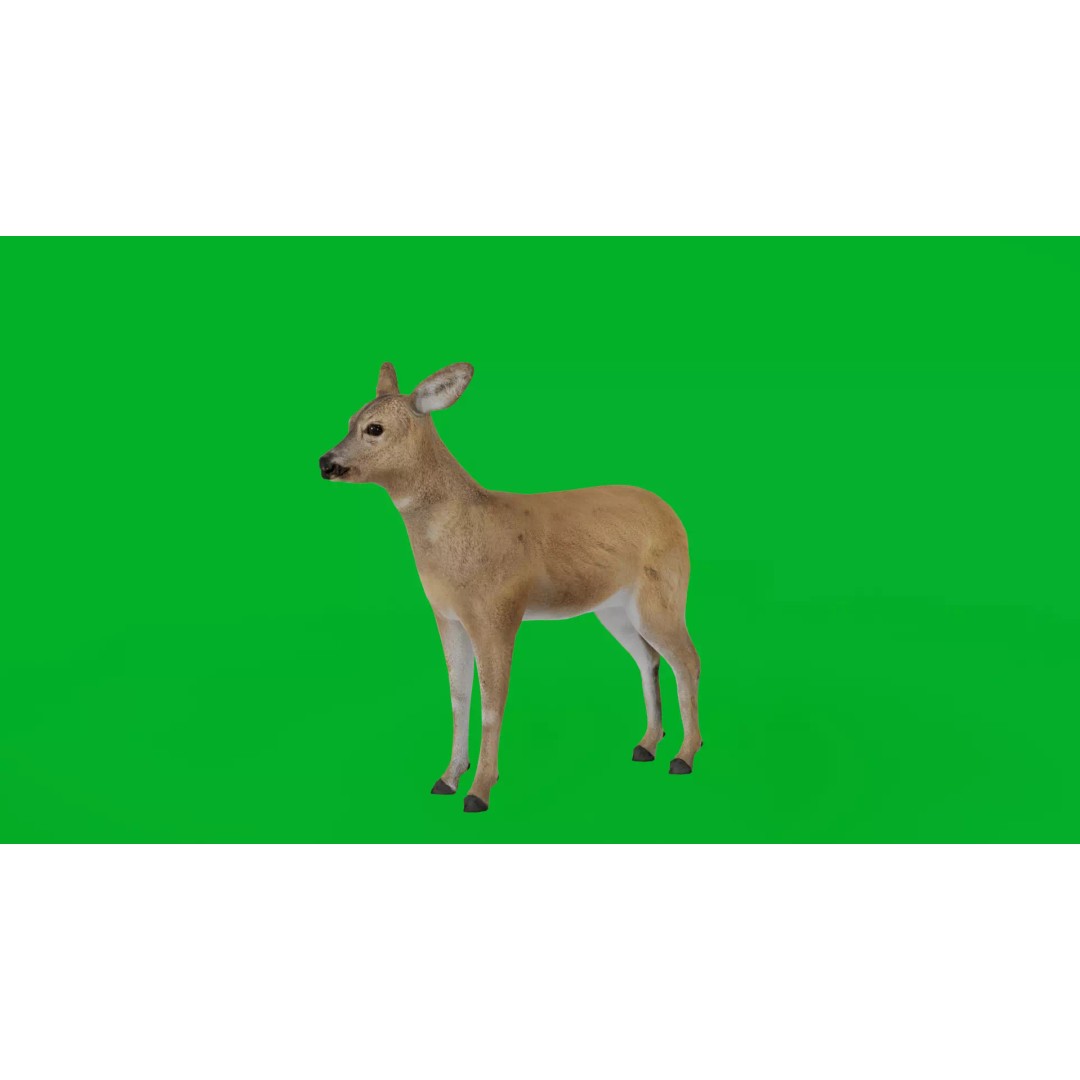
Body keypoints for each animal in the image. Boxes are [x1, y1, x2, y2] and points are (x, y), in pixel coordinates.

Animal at [319, 362, 701, 812]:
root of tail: (675, 519)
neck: (463, 528)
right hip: (614, 609)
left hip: (663, 593)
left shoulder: (497, 611)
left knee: (687, 660)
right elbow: (458, 697)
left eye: (374, 428)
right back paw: (646, 745)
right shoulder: (446, 615)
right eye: (349, 421)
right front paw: (447, 778)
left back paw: (684, 756)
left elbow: (492, 704)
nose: (325, 462)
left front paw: (479, 790)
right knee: (649, 659)